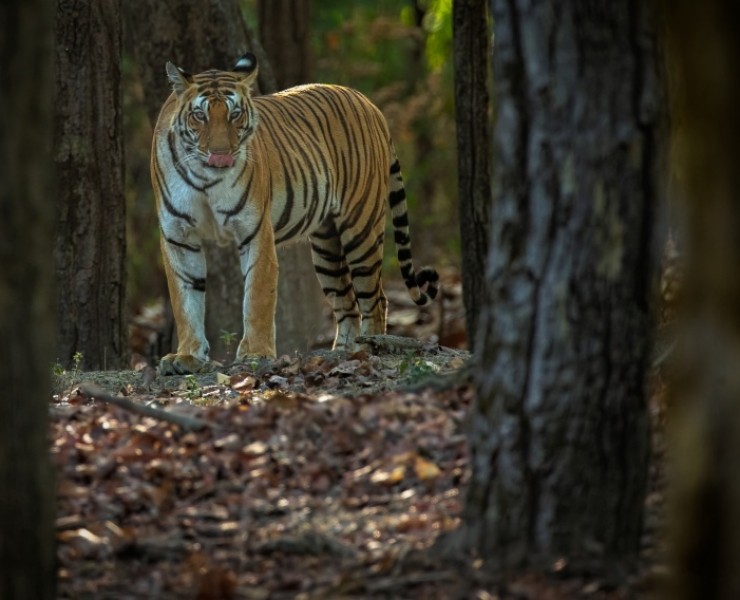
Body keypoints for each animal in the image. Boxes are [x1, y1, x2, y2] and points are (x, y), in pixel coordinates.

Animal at [151, 52, 439, 375]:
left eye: (234, 114)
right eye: (199, 116)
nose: (220, 155)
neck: (205, 178)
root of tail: (369, 104)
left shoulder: (255, 232)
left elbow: (257, 298)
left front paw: (256, 355)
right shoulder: (178, 237)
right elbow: (185, 300)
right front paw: (187, 356)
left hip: (361, 229)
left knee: (376, 299)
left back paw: (368, 348)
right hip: (327, 247)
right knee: (347, 304)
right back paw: (342, 353)